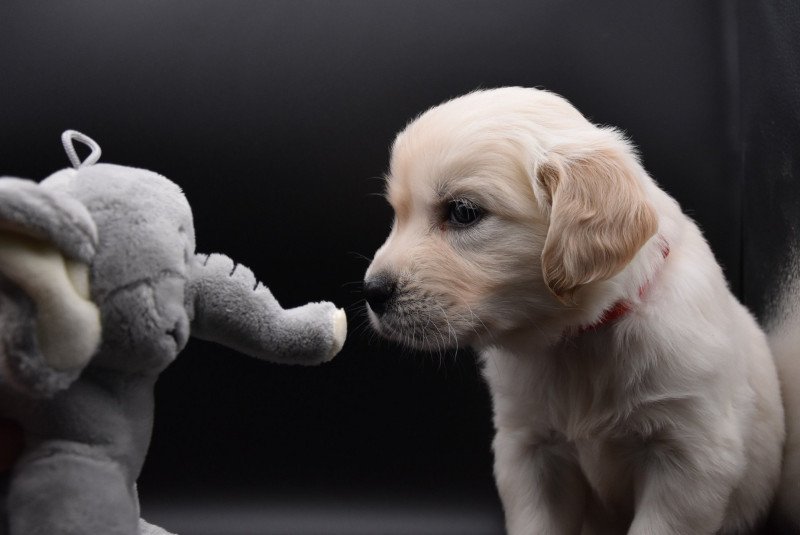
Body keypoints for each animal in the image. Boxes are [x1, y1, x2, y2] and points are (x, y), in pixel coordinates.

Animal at [366, 86, 792, 532]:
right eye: (398, 213)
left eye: (463, 212)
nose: (371, 292)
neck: (579, 341)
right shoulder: (530, 448)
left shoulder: (690, 456)